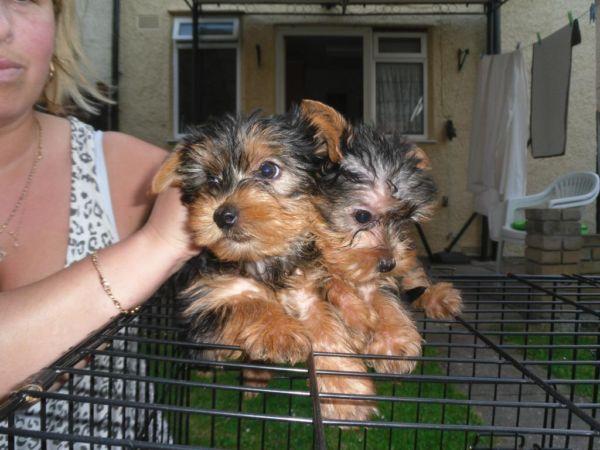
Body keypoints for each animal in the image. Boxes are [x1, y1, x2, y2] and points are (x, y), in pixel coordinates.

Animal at [150, 110, 376, 422]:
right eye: (210, 178)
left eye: (268, 170)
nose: (222, 215)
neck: (262, 259)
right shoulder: (205, 296)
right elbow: (249, 301)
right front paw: (280, 331)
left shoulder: (305, 291)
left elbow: (327, 329)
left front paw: (345, 392)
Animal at [300, 101, 464, 372]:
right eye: (363, 216)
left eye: (402, 221)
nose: (389, 264)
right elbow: (334, 285)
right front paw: (359, 318)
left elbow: (384, 293)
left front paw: (392, 339)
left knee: (414, 279)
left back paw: (440, 297)